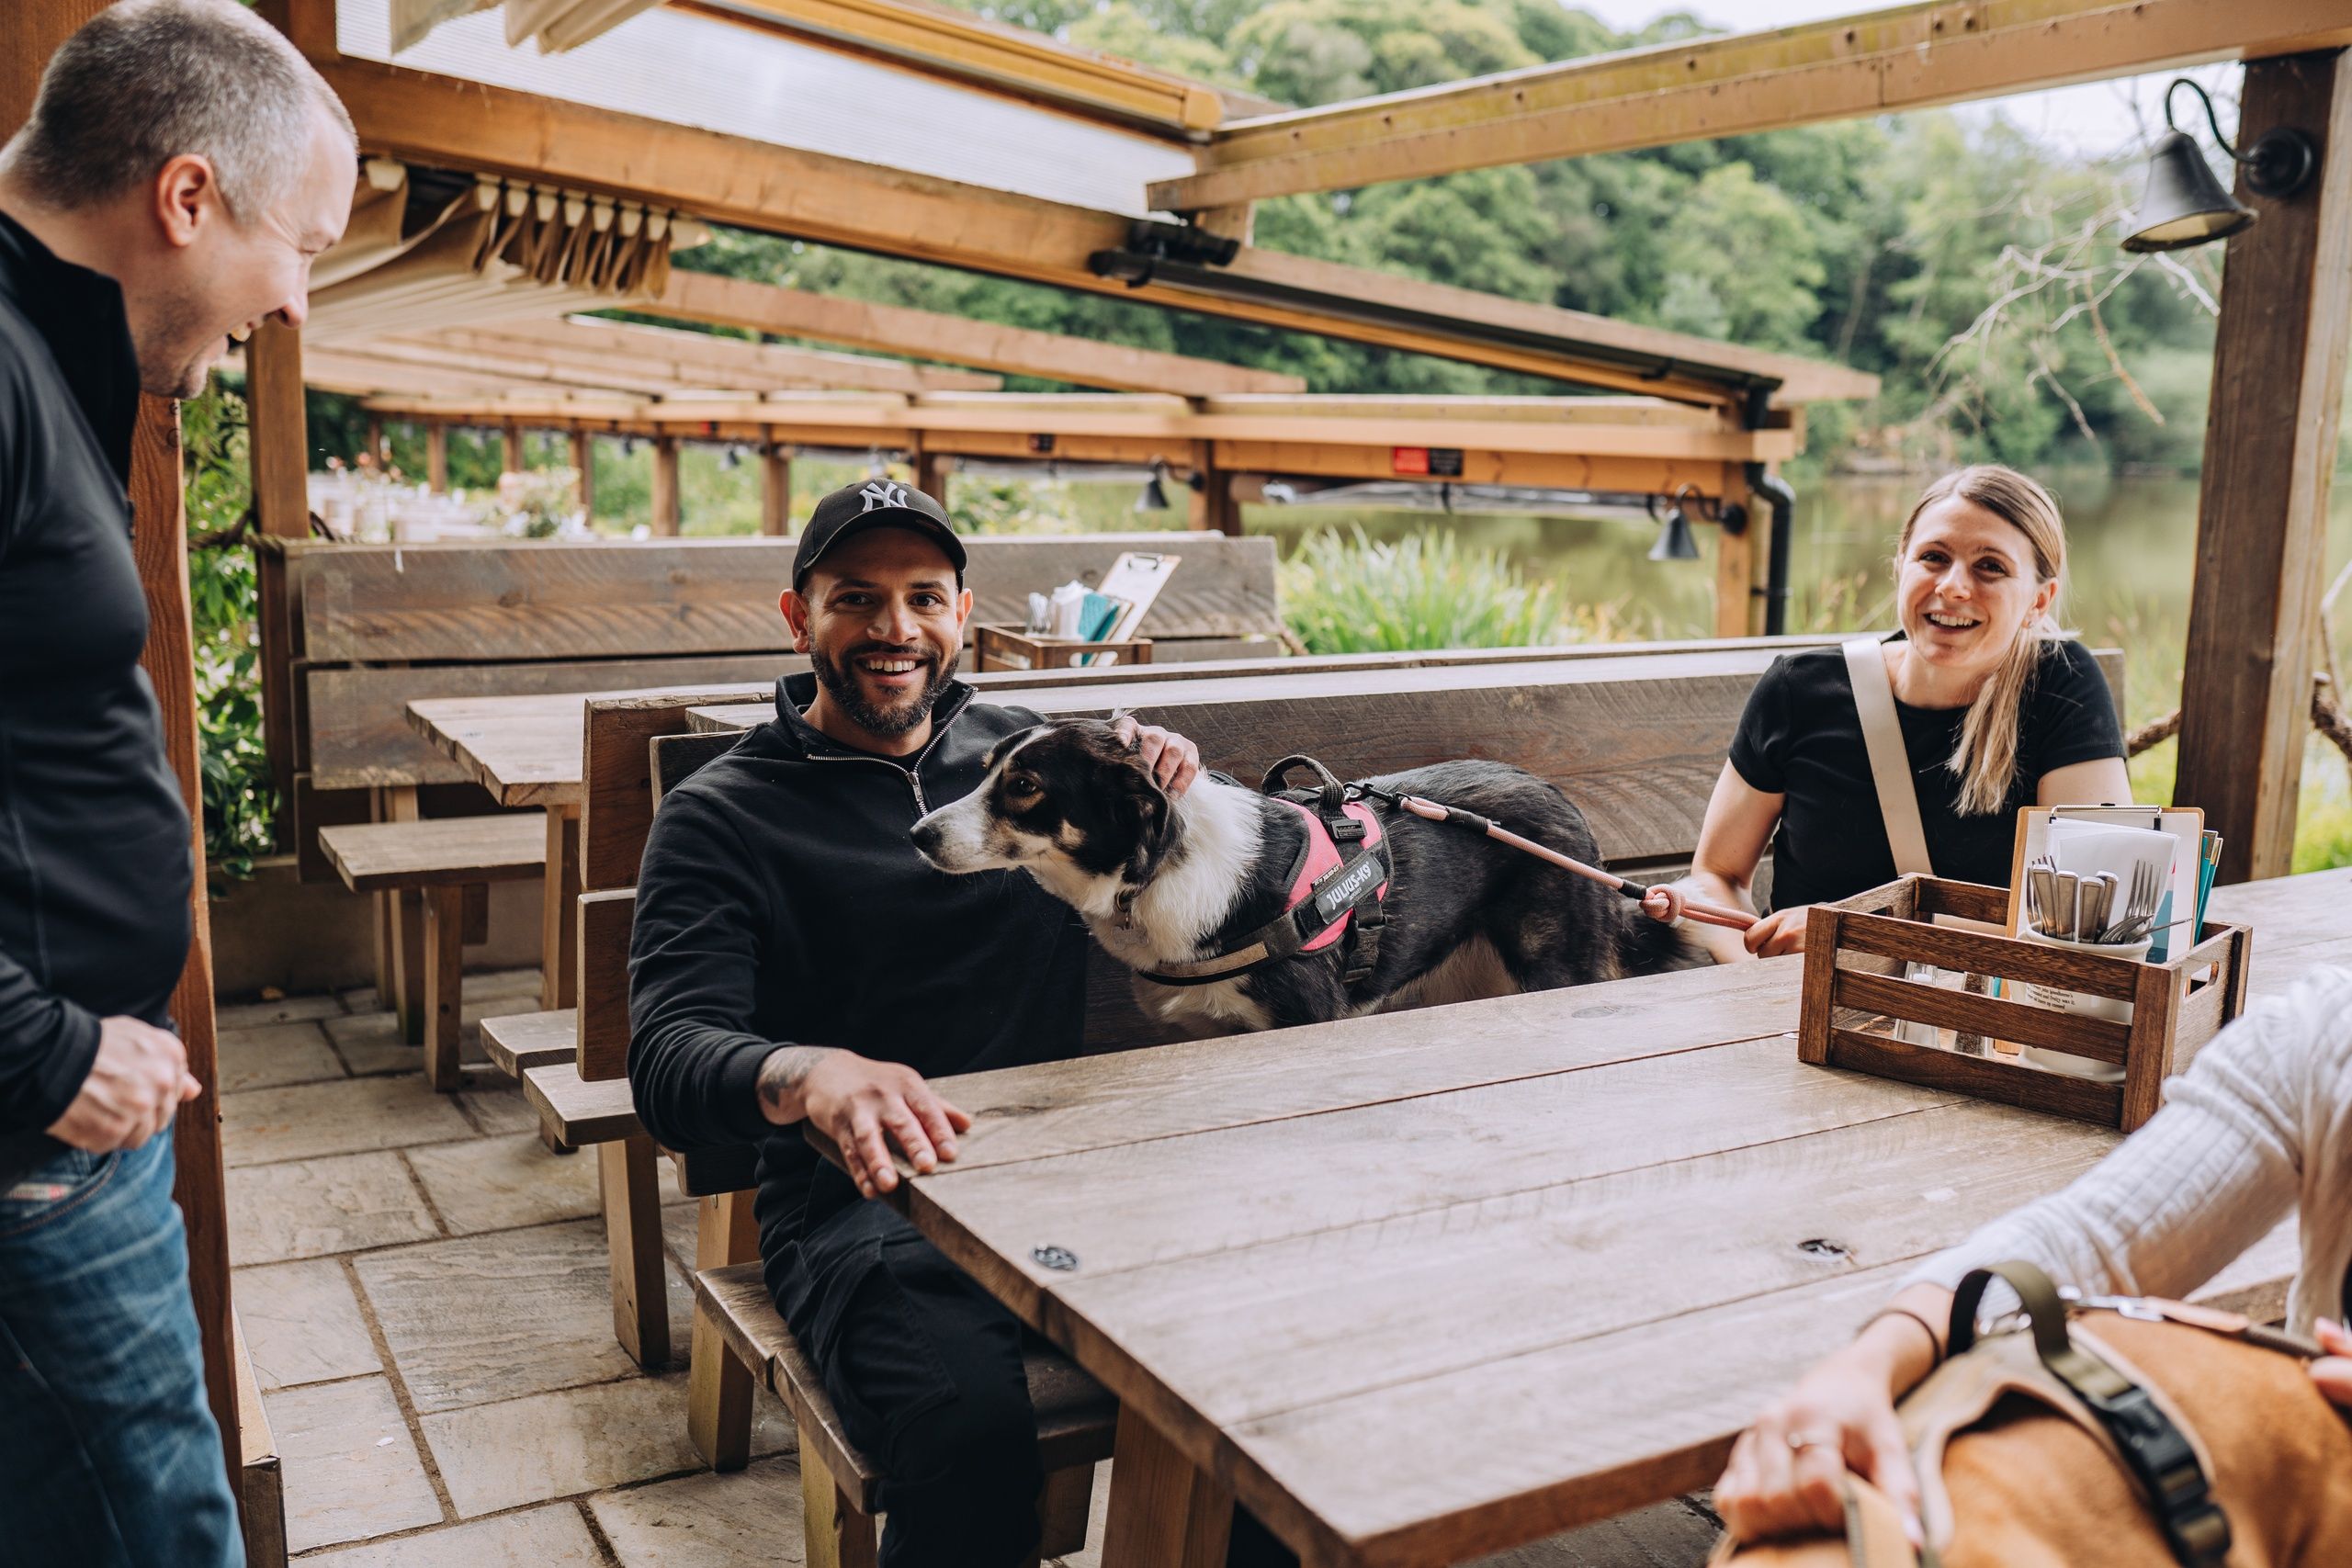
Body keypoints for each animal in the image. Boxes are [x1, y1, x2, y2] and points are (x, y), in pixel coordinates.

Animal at [911, 718, 1702, 1037]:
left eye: (1024, 786)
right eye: (986, 772)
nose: (918, 835)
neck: (1160, 871)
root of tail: (1573, 815)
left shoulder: (1305, 1018)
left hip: (1553, 965)